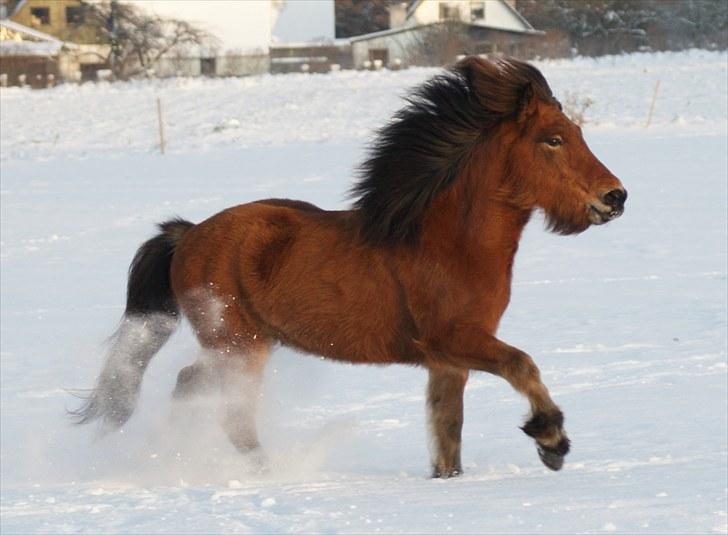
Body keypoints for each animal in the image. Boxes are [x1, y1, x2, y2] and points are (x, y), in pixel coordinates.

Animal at [75, 57, 632, 478]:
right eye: (553, 139)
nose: (616, 197)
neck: (448, 244)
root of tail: (187, 234)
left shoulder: (447, 362)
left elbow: (447, 435)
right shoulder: (455, 339)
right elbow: (523, 364)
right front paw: (551, 440)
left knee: (193, 391)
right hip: (238, 344)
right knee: (221, 405)